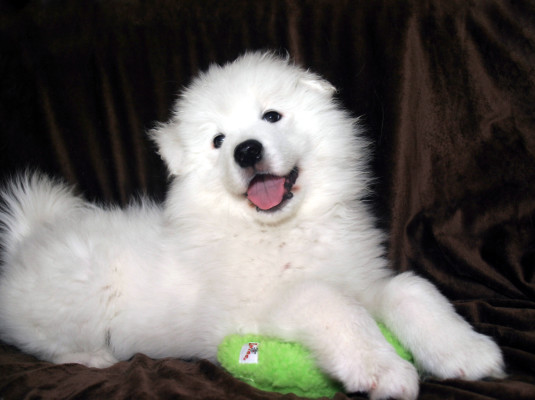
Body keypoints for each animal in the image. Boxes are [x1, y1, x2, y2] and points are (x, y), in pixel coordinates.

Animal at [0, 53, 504, 400]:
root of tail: (28, 239)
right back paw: (93, 357)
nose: (246, 150)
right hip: (80, 290)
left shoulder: (360, 278)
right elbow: (329, 304)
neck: (284, 229)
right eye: (218, 141)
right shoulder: (255, 309)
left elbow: (411, 288)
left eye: (272, 116)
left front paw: (466, 352)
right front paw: (385, 370)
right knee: (37, 338)